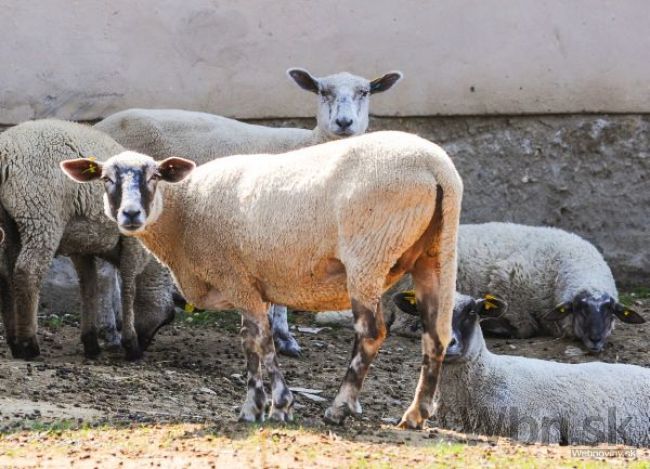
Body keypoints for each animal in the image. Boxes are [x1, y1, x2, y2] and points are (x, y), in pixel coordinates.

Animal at [0, 119, 175, 358]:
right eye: (168, 319)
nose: (145, 344)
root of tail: (6, 152)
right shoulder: (132, 244)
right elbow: (128, 287)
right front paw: (130, 344)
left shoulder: (82, 245)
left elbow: (89, 285)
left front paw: (91, 342)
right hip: (40, 214)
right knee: (28, 272)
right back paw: (29, 344)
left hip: (11, 225)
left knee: (6, 274)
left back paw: (15, 343)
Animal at [93, 67, 402, 356]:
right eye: (322, 91)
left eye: (365, 92)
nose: (344, 123)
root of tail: (102, 126)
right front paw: (283, 337)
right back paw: (114, 329)